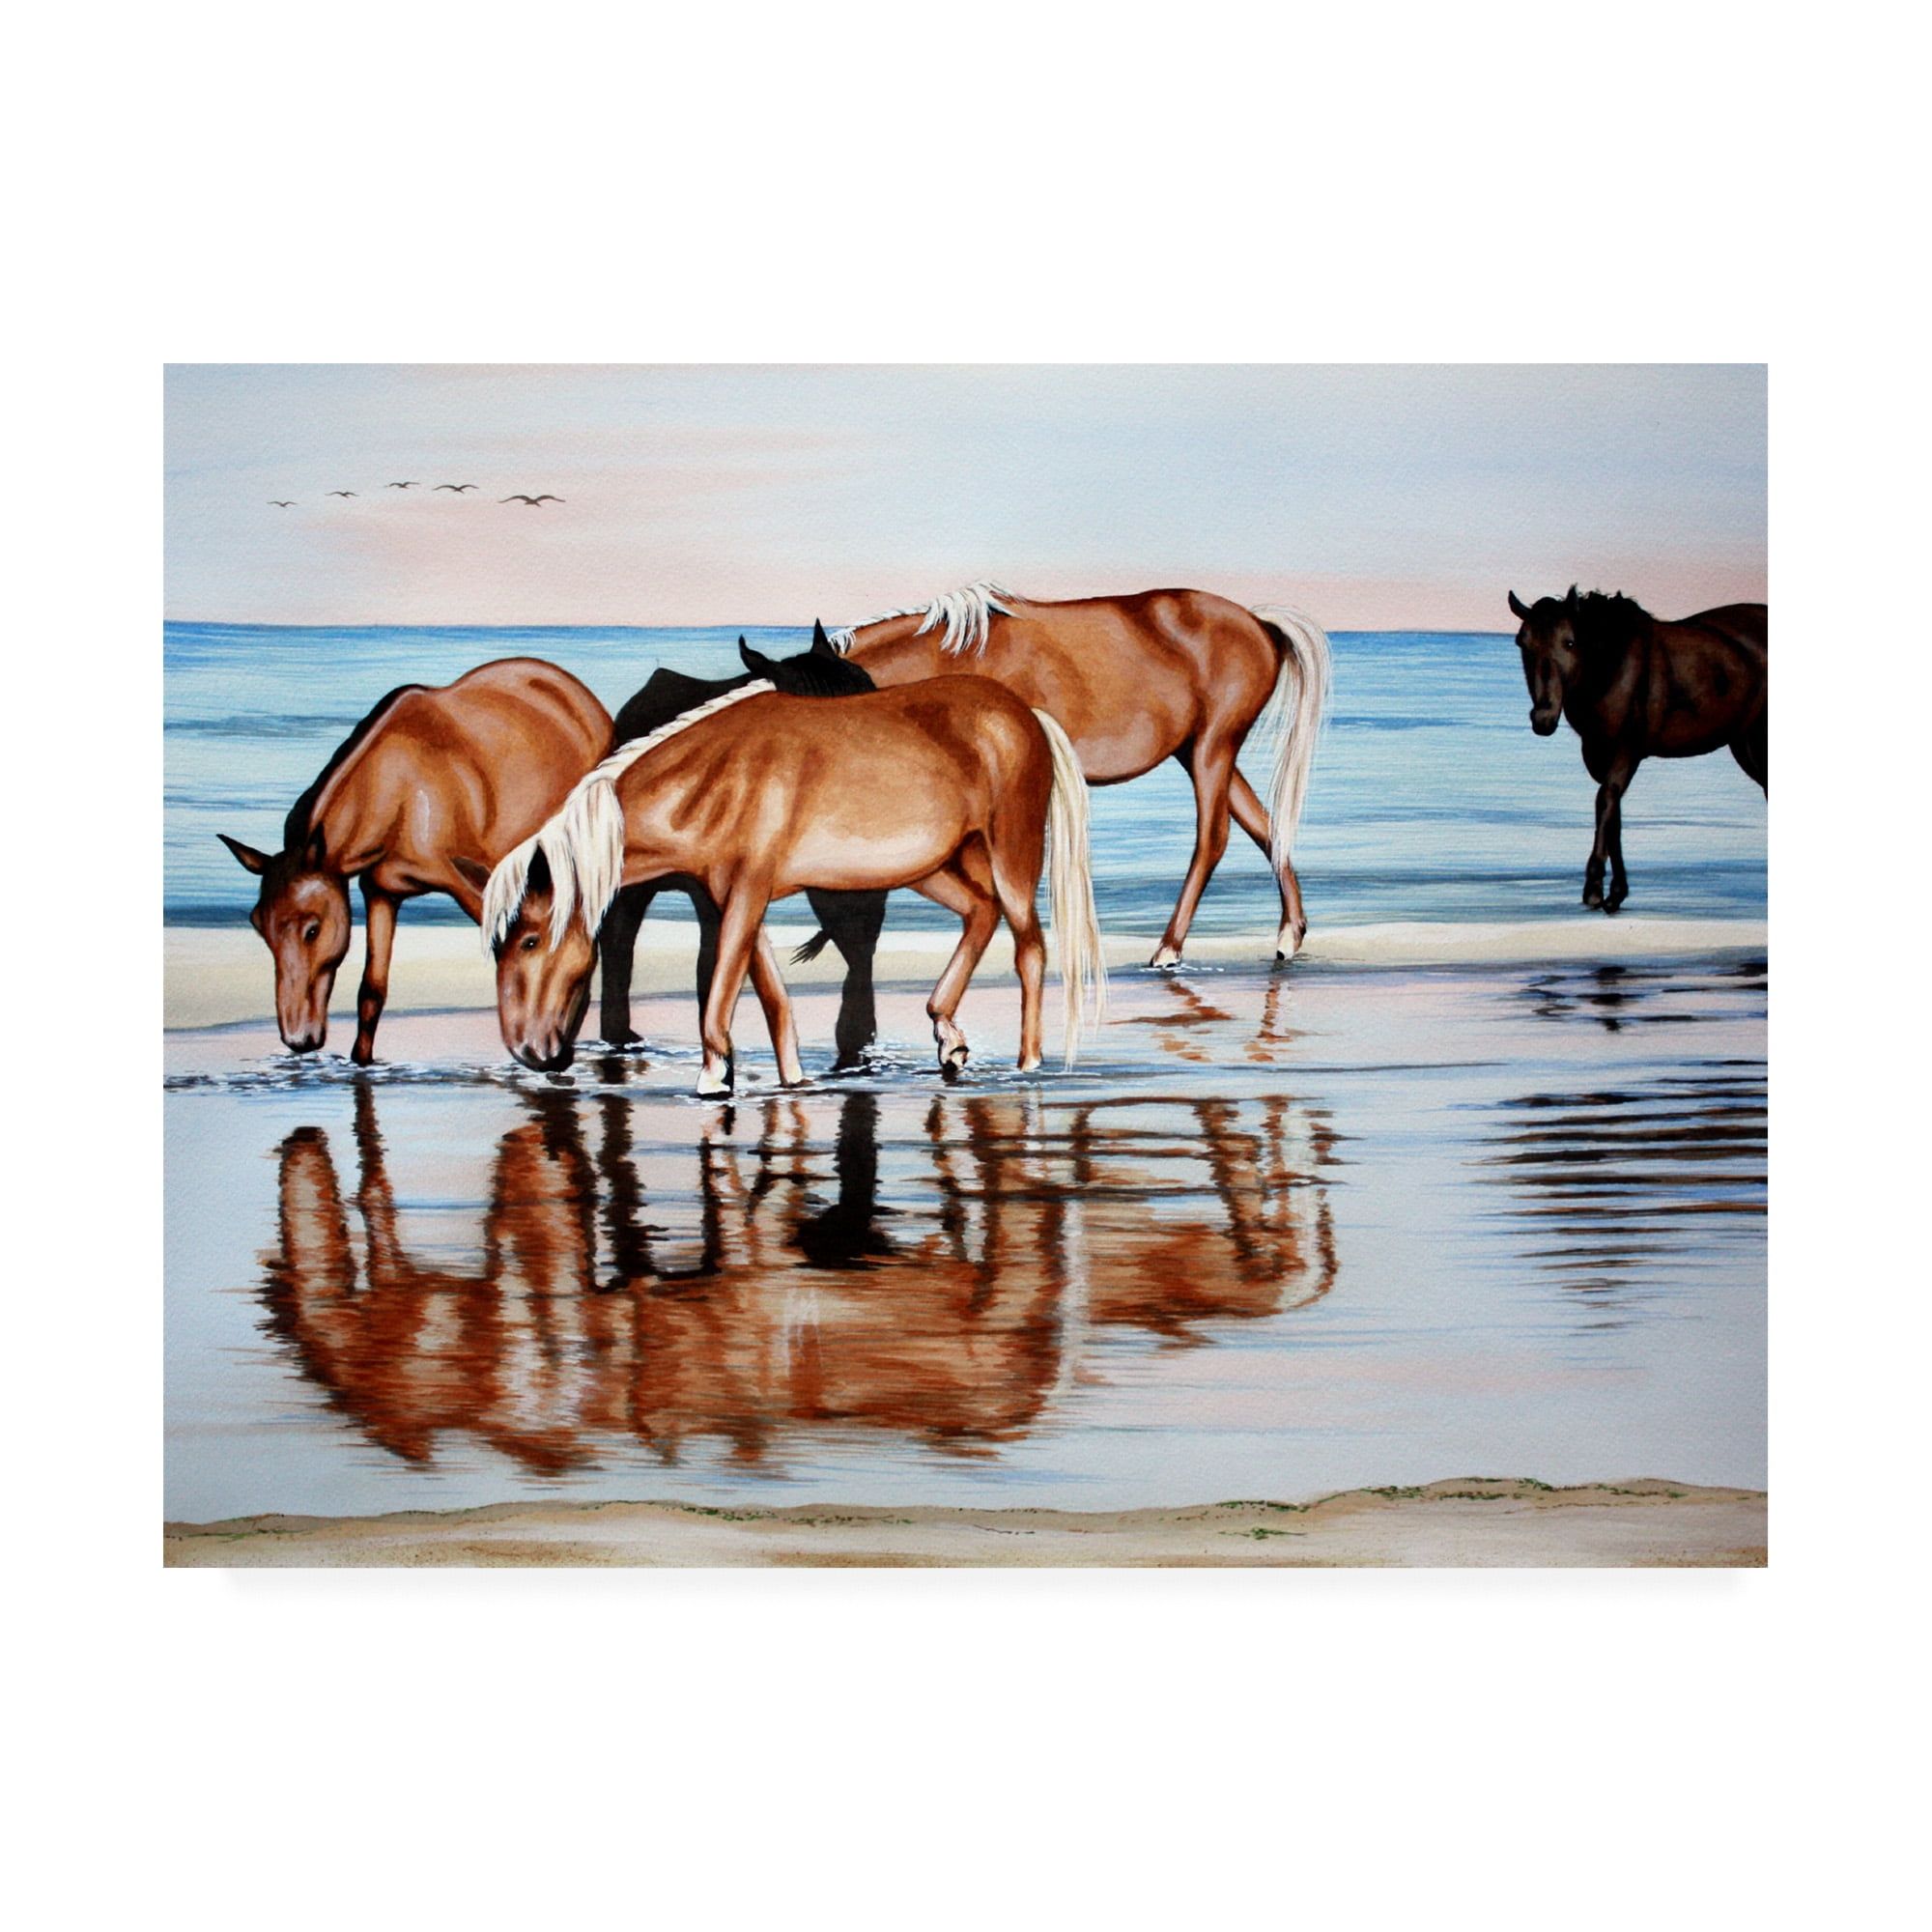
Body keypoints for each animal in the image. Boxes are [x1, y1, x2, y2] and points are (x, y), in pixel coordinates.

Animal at [211, 661, 607, 1059]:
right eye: (258, 925)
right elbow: (371, 992)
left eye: (312, 929)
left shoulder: (480, 888)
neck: (400, 790)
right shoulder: (380, 893)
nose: (298, 1039)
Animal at [466, 672, 1105, 1097]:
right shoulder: (734, 898)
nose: (528, 1054)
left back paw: (1028, 1064)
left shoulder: (746, 894)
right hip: (936, 866)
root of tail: (1023, 712)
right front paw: (791, 1079)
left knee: (1029, 947)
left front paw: (711, 1078)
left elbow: (723, 988)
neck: (717, 776)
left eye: (528, 940)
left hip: (1009, 852)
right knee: (980, 913)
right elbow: (770, 994)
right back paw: (947, 1036)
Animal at [831, 576, 1329, 962]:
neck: (953, 660)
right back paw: (1289, 936)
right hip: (1197, 753)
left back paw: (1169, 948)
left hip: (1214, 747)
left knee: (1214, 838)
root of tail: (1259, 623)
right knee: (1265, 827)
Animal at [1507, 583, 1770, 916]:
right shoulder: (1598, 753)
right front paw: (1615, 893)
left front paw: (1595, 890)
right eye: (1522, 642)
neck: (1612, 667)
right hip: (1746, 744)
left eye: (1569, 641)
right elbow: (1613, 814)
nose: (1543, 718)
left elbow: (1605, 802)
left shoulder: (1627, 750)